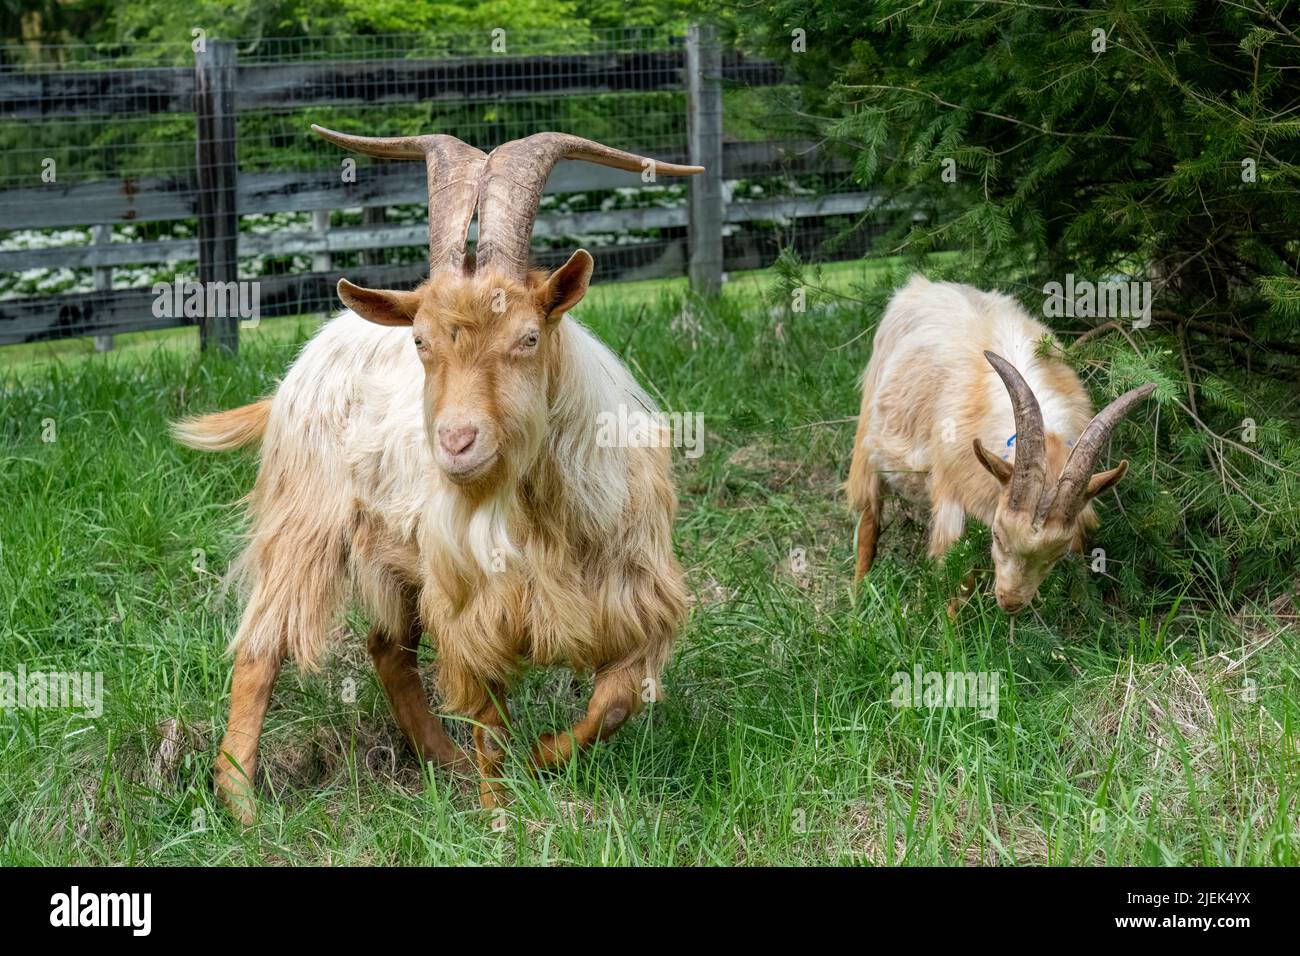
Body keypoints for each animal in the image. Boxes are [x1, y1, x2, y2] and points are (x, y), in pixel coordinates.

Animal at [174, 128, 700, 819]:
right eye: (421, 341)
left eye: (529, 337)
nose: (455, 442)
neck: (542, 517)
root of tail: (307, 357)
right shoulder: (473, 608)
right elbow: (490, 723)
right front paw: (502, 815)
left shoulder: (636, 595)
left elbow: (616, 701)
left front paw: (541, 760)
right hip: (304, 520)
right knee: (262, 645)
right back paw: (241, 805)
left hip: (397, 552)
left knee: (387, 650)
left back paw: (440, 759)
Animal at [846, 275, 1155, 613]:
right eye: (997, 535)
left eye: (1056, 554)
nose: (1010, 602)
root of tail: (920, 285)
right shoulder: (953, 492)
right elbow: (959, 574)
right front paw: (950, 623)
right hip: (869, 436)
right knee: (868, 519)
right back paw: (858, 595)